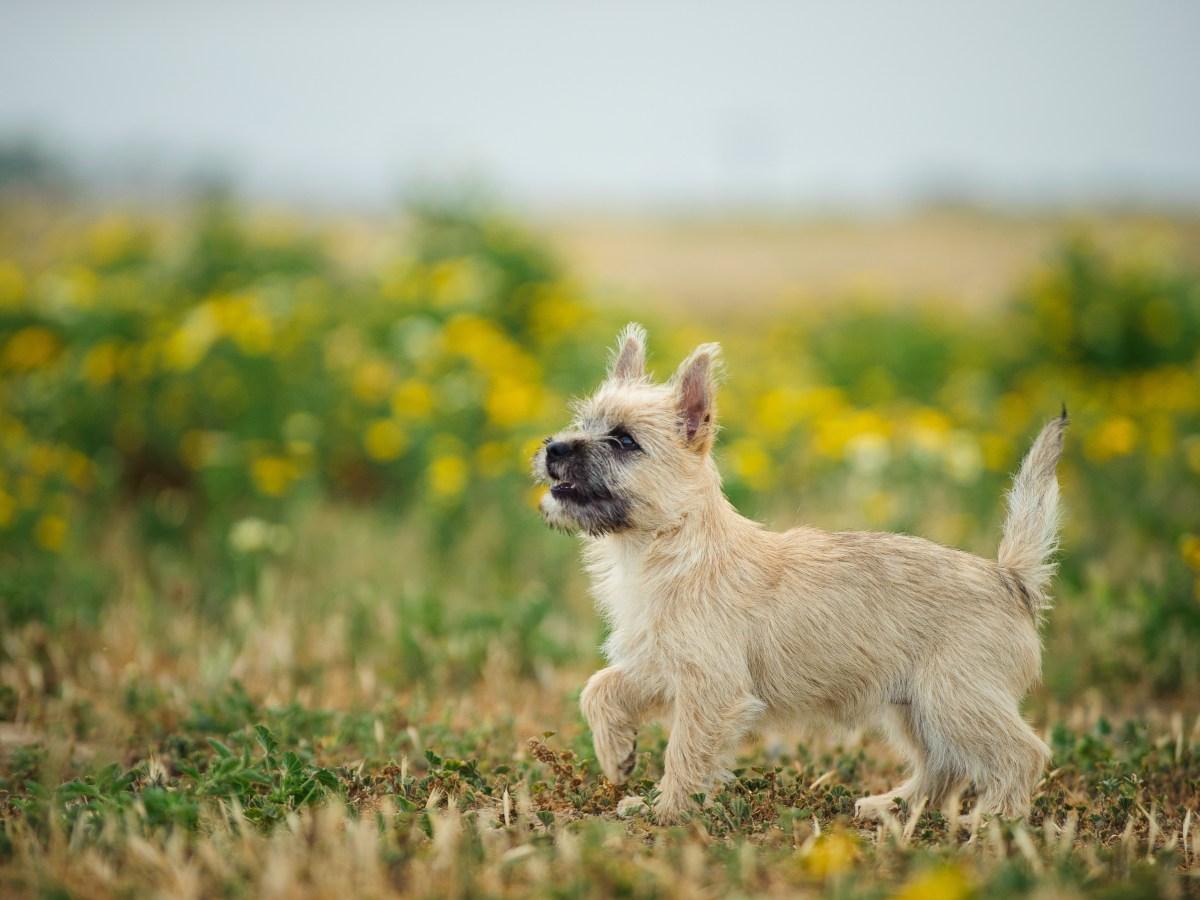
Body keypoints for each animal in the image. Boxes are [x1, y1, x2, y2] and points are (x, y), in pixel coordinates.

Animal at [535, 321, 1070, 825]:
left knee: (1021, 754)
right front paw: (616, 754)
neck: (664, 545)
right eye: (583, 423)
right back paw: (895, 806)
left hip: (954, 699)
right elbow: (600, 687)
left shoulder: (711, 689)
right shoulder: (661, 665)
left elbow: (684, 753)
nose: (554, 448)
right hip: (917, 708)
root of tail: (1010, 578)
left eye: (624, 440)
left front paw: (665, 811)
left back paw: (995, 821)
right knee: (944, 766)